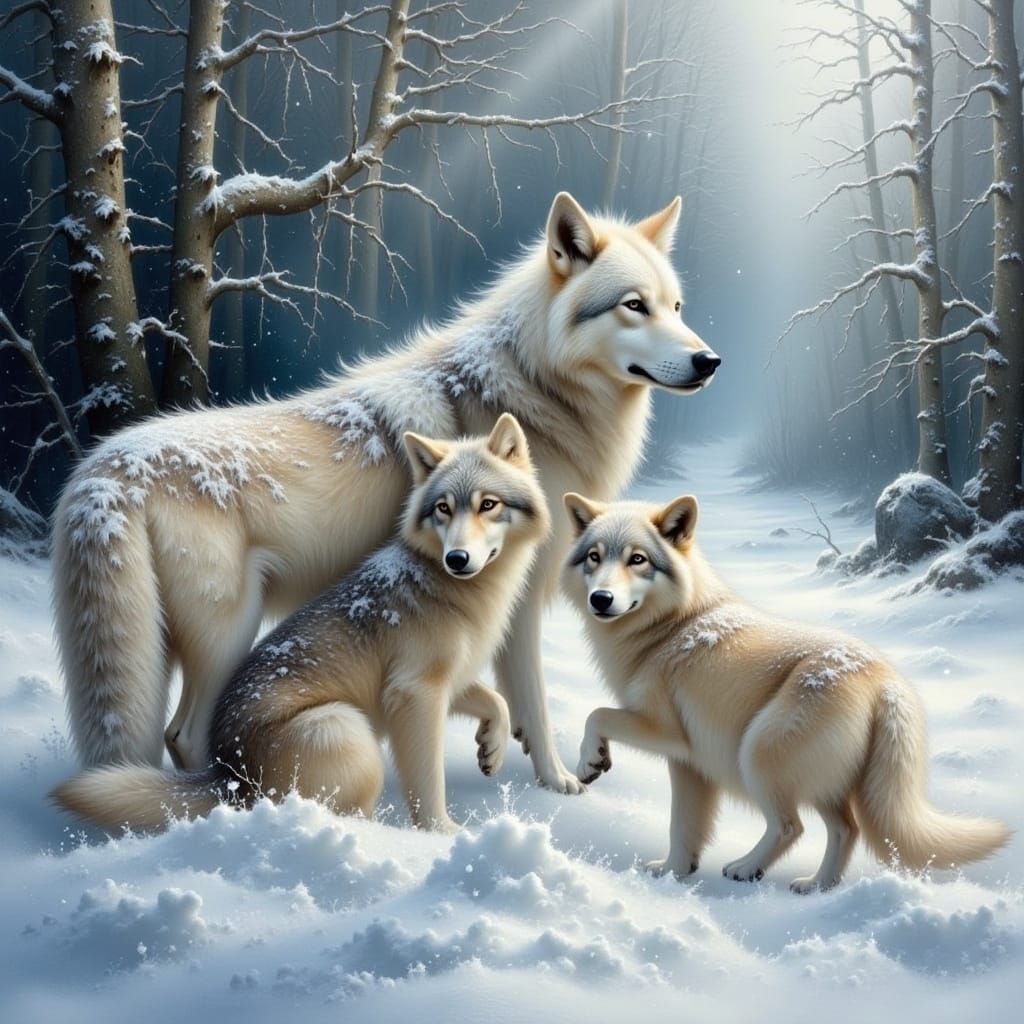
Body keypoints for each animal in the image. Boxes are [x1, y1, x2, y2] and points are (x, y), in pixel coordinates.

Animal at [52, 414, 549, 833]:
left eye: (488, 505)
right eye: (443, 508)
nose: (457, 559)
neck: (462, 594)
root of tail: (230, 778)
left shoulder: (452, 680)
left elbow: (497, 702)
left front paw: (492, 750)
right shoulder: (413, 694)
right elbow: (428, 783)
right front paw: (441, 835)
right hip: (347, 728)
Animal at [560, 493, 1011, 892]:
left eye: (637, 559)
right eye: (594, 557)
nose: (601, 599)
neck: (671, 627)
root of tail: (886, 681)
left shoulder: (664, 732)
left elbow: (596, 714)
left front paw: (590, 762)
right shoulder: (689, 762)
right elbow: (683, 826)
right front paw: (675, 871)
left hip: (757, 756)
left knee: (793, 826)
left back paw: (747, 869)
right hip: (822, 784)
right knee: (846, 830)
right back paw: (819, 887)